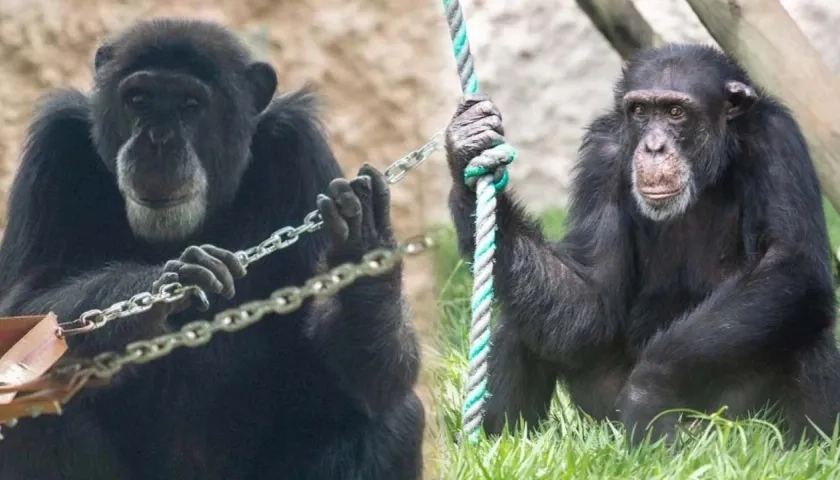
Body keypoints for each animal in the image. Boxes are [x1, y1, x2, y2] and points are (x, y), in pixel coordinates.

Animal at [0, 16, 424, 478]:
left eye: (190, 104)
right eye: (138, 99)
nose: (157, 140)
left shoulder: (303, 152)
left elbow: (357, 383)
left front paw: (364, 249)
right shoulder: (53, 149)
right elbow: (21, 312)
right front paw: (162, 286)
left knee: (386, 417)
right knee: (34, 410)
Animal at [442, 43, 840, 448]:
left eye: (675, 112)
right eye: (640, 111)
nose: (653, 146)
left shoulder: (778, 140)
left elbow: (790, 260)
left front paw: (648, 391)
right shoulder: (601, 157)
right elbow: (591, 296)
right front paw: (467, 151)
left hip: (734, 420)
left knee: (803, 320)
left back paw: (800, 449)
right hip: (603, 413)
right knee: (521, 321)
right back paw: (499, 442)